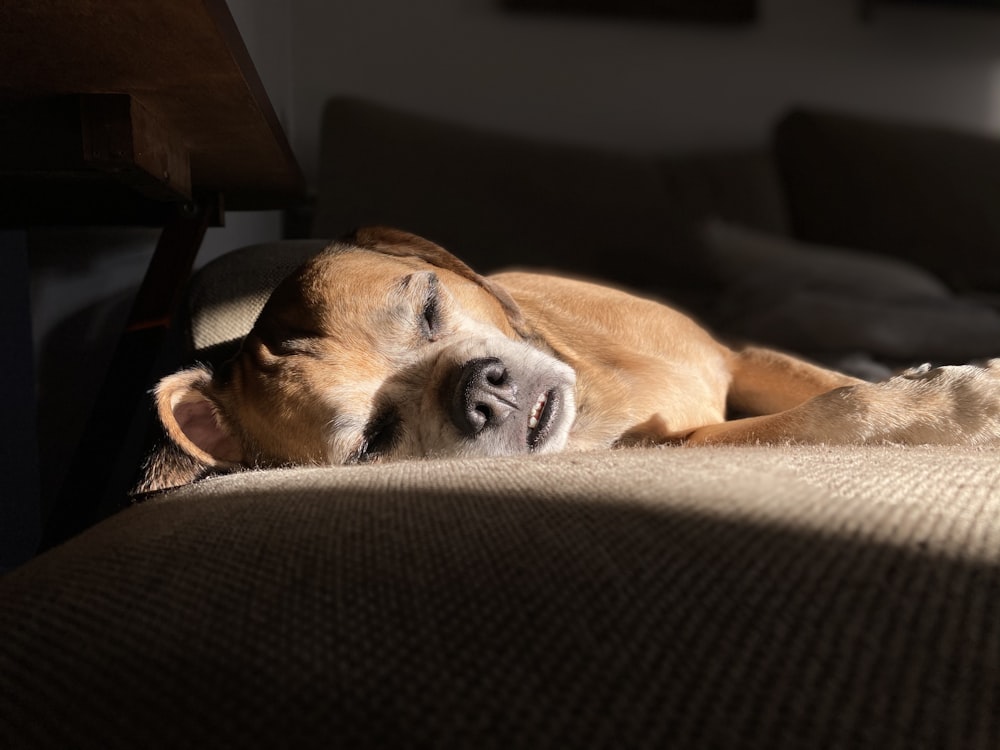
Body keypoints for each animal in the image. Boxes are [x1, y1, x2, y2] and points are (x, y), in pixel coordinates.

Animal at [139, 223, 1000, 494]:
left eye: (429, 307)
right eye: (372, 442)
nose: (482, 394)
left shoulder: (739, 354)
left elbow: (833, 380)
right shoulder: (687, 443)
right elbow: (833, 409)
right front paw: (956, 406)